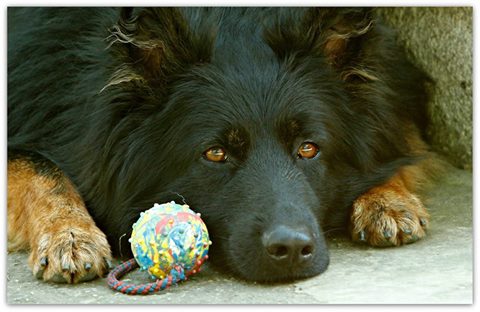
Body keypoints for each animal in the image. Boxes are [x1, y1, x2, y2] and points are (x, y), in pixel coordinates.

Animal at [6, 7, 438, 286]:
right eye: (215, 153)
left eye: (308, 148)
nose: (291, 250)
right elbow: (36, 167)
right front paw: (69, 234)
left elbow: (399, 139)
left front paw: (387, 200)